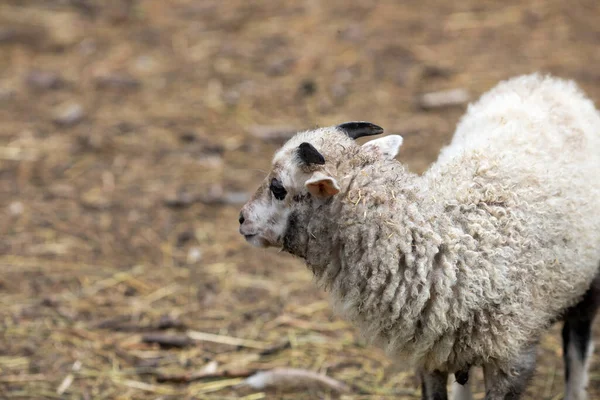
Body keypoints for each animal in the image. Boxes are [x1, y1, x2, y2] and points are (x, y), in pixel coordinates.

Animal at [238, 73, 600, 398]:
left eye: (278, 188)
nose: (242, 219)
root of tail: (546, 82)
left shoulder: (511, 361)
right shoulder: (430, 354)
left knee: (576, 350)